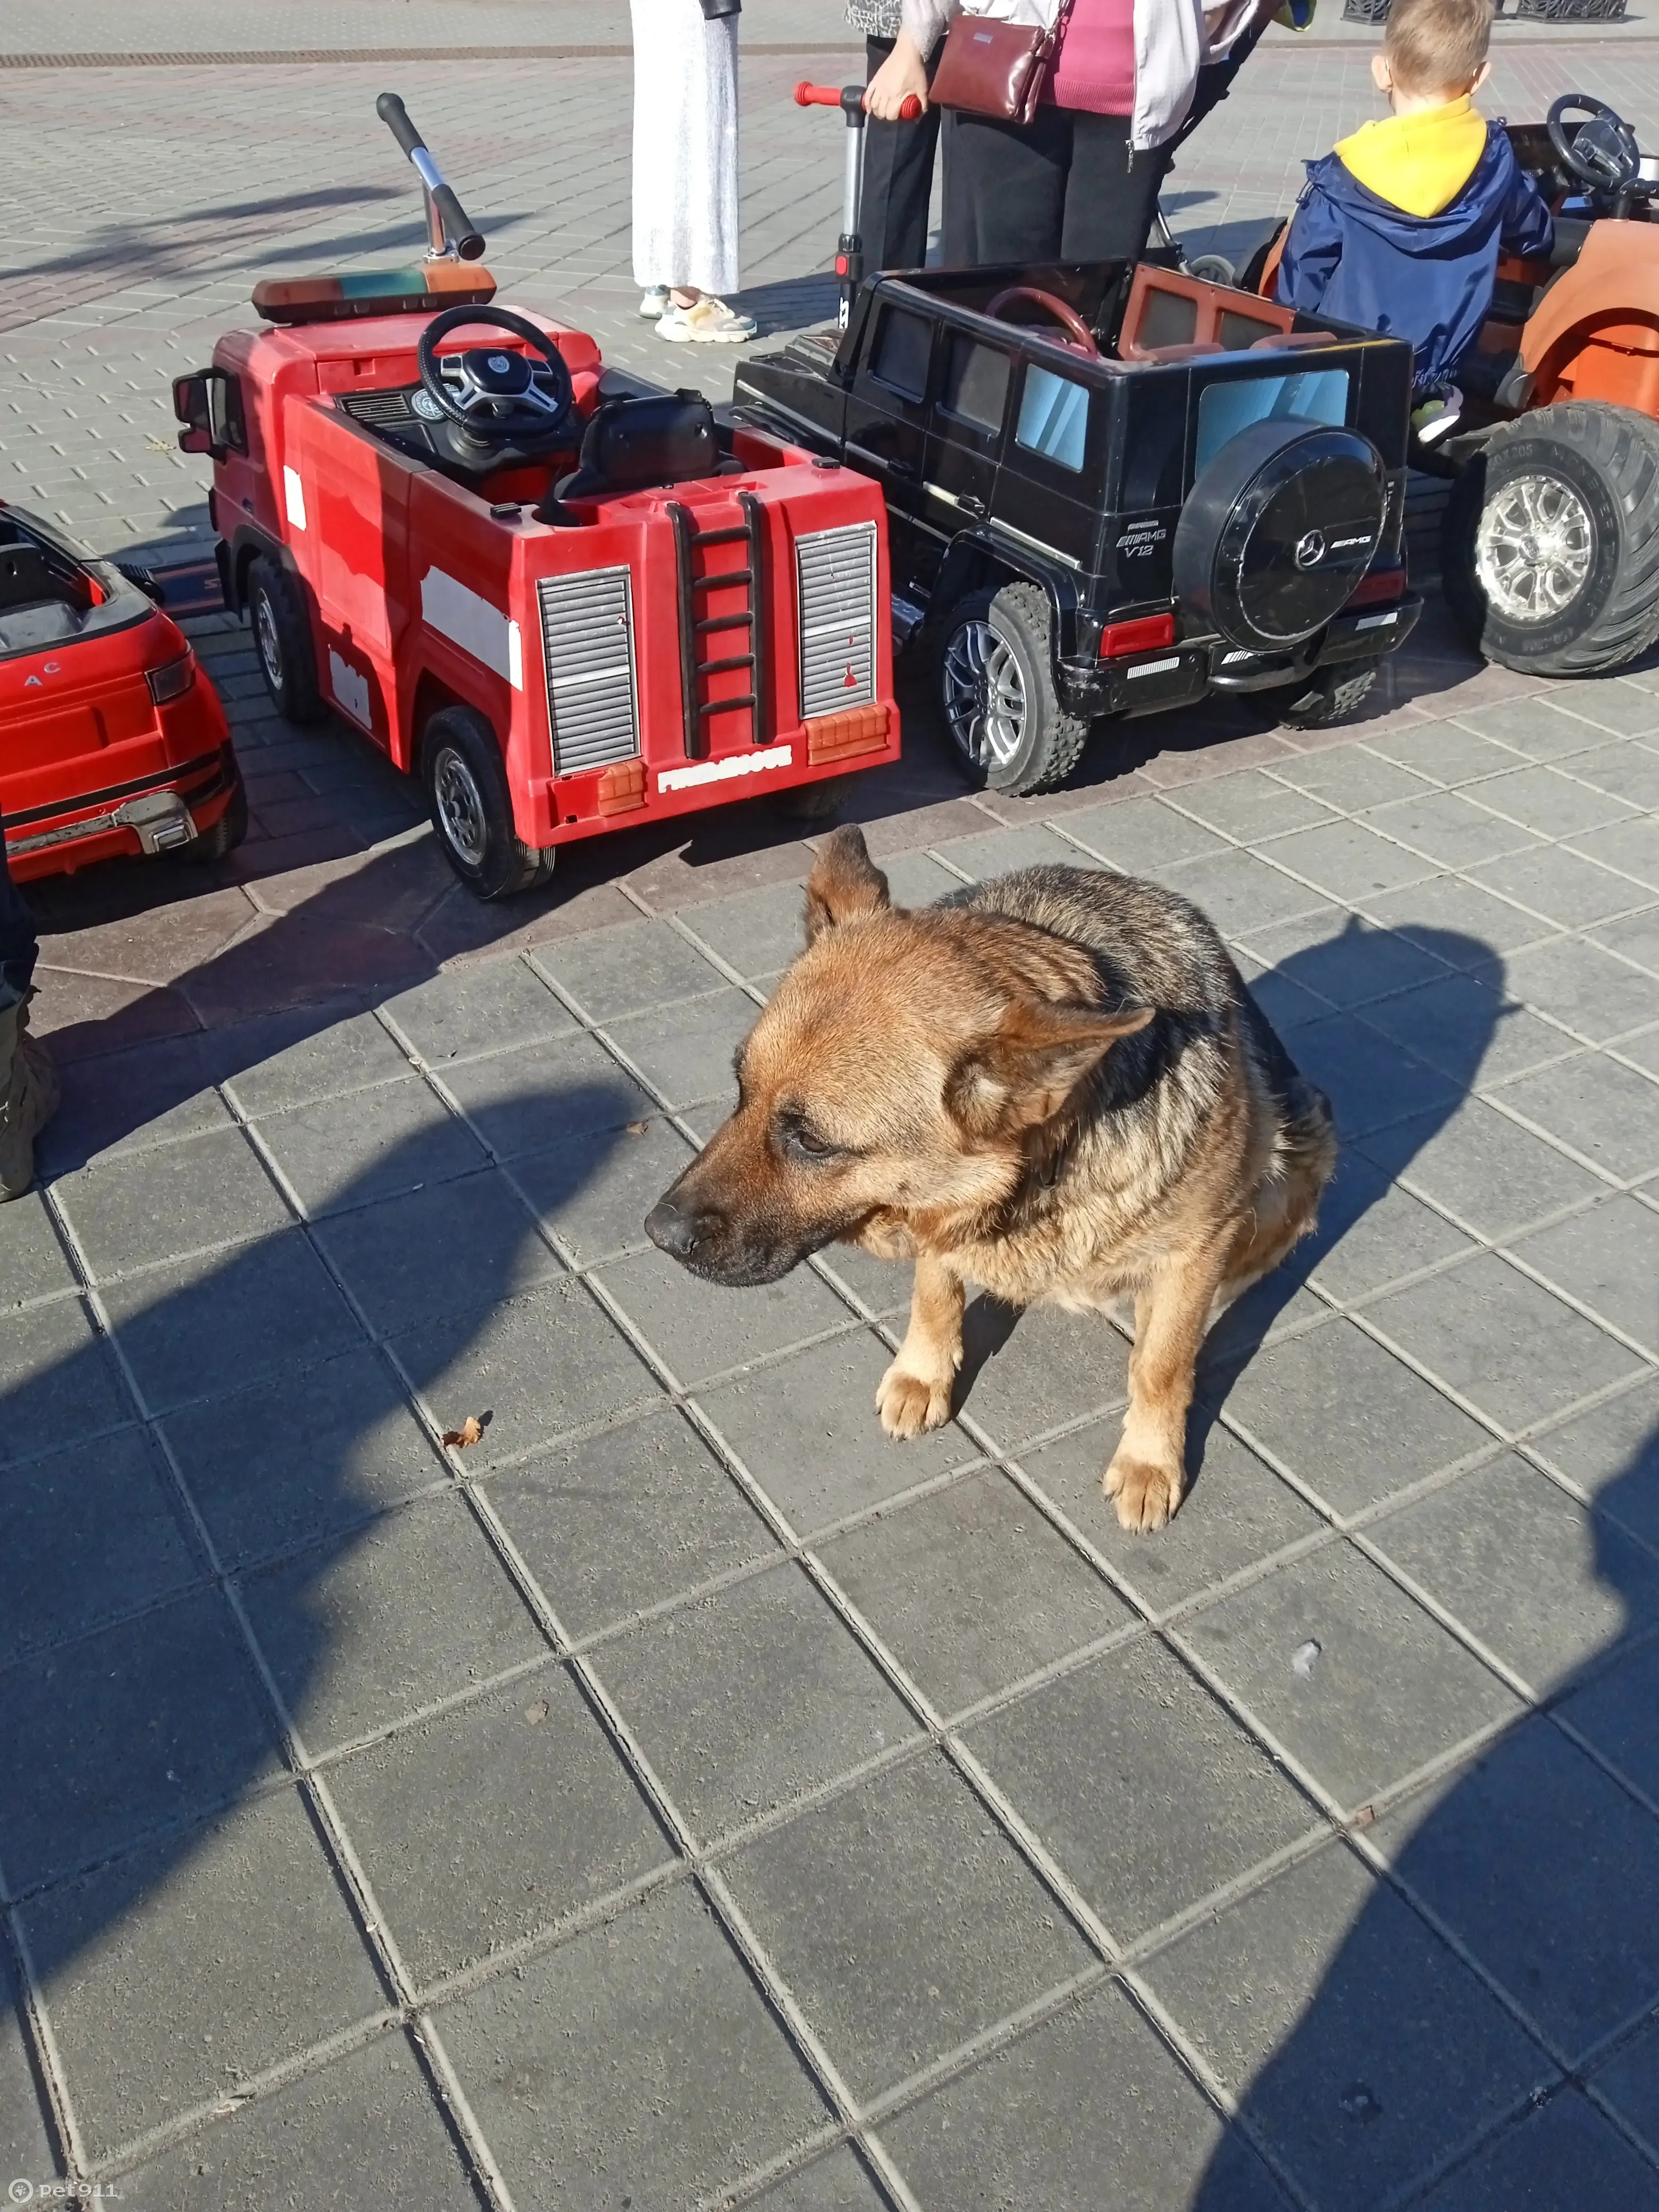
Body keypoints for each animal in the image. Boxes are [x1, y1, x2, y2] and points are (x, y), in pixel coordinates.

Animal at [650, 823, 1336, 1530]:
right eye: (741, 1089)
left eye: (811, 1140)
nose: (657, 1233)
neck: (1055, 1160)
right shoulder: (937, 1210)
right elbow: (934, 1292)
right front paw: (924, 1373)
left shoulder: (1195, 1248)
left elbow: (1162, 1366)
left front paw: (1150, 1459)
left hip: (1291, 1161)